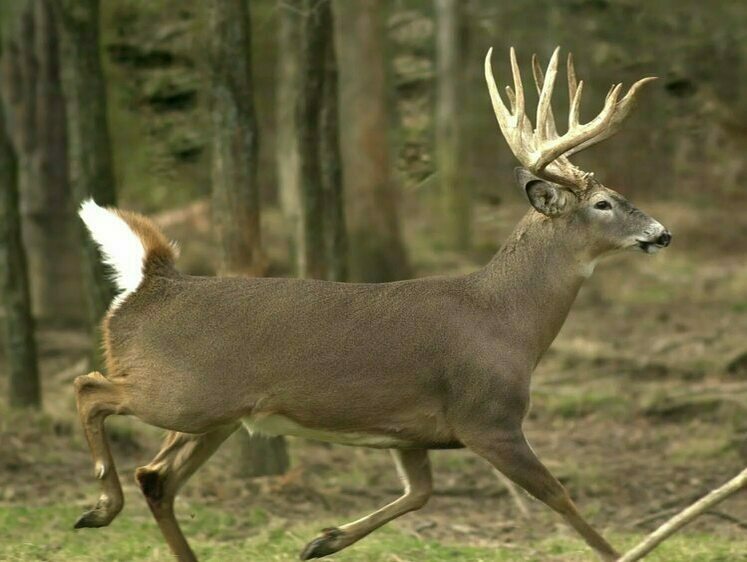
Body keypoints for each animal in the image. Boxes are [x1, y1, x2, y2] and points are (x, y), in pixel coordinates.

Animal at [74, 48, 672, 560]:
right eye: (603, 203)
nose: (662, 233)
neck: (507, 322)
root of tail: (151, 283)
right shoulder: (487, 417)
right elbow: (559, 497)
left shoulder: (410, 430)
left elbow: (420, 493)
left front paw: (323, 540)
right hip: (184, 394)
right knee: (91, 389)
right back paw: (100, 505)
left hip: (216, 415)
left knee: (157, 477)